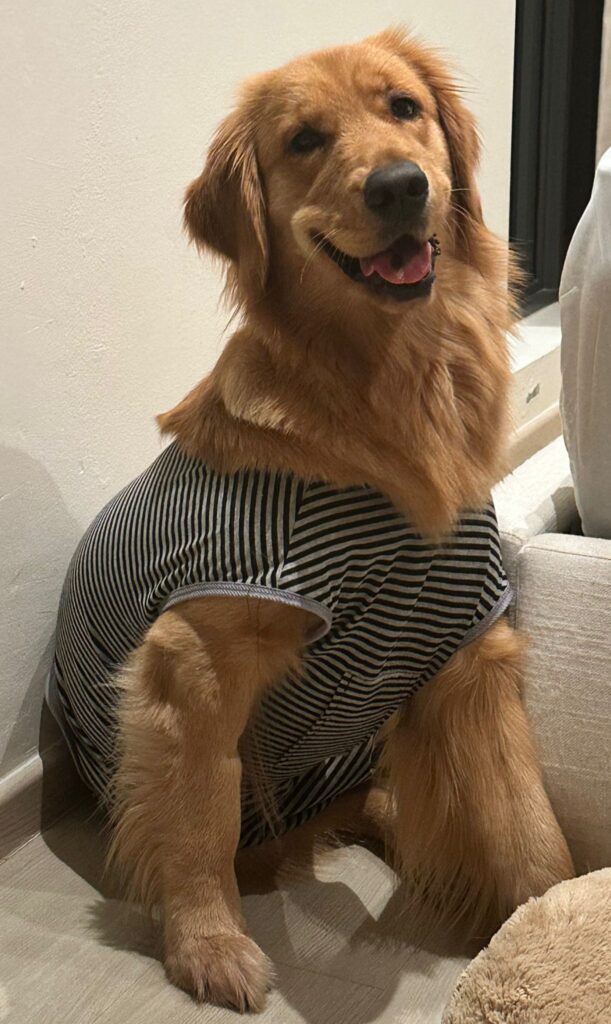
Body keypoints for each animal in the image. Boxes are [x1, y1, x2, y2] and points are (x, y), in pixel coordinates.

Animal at [47, 28, 575, 1013]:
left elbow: (529, 827)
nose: (400, 185)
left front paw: (554, 927)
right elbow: (198, 821)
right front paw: (208, 943)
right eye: (302, 140)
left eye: (404, 107)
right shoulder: (192, 657)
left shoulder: (470, 651)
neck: (390, 391)